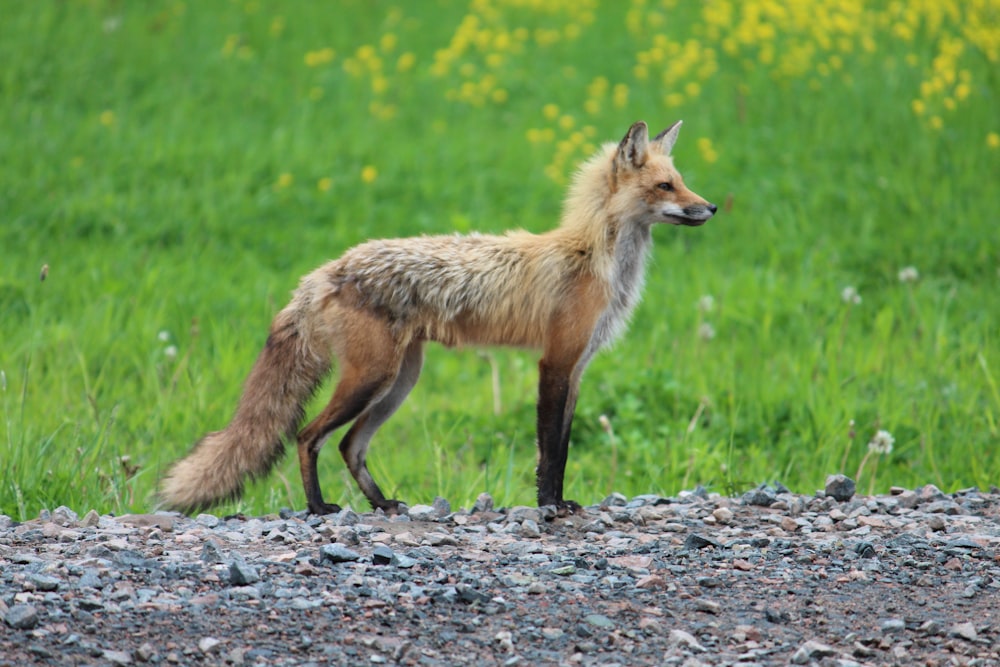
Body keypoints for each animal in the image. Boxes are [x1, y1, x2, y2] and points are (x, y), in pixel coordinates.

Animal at [160, 120, 716, 516]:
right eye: (666, 186)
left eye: (682, 183)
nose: (710, 207)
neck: (592, 260)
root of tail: (326, 270)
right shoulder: (555, 362)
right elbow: (549, 450)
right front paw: (549, 506)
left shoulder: (577, 368)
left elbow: (560, 444)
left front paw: (559, 501)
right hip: (371, 379)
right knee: (308, 436)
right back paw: (318, 507)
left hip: (400, 381)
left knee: (349, 445)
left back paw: (382, 503)